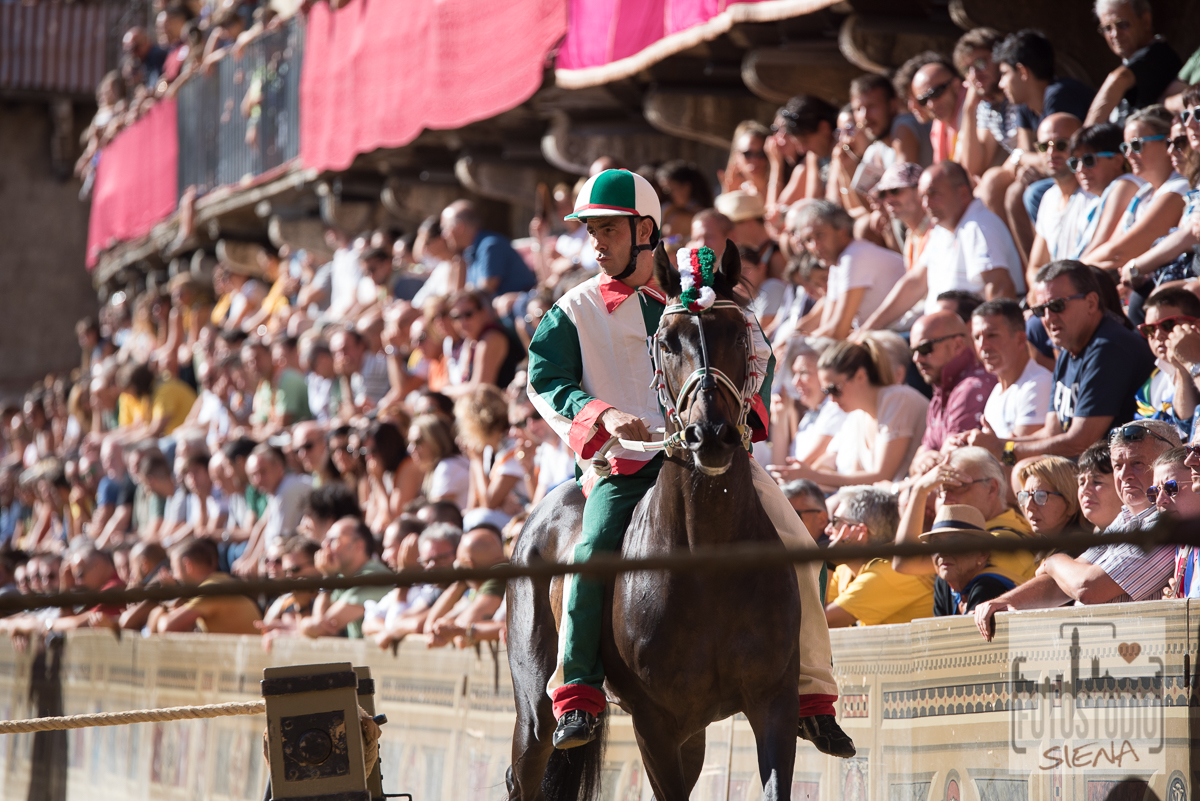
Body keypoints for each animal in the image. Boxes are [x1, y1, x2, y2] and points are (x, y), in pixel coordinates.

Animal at [501, 242, 801, 801]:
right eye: (665, 342)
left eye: (740, 334)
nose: (712, 435)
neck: (707, 562)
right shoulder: (655, 723)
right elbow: (549, 374)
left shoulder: (771, 702)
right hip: (534, 710)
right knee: (525, 770)